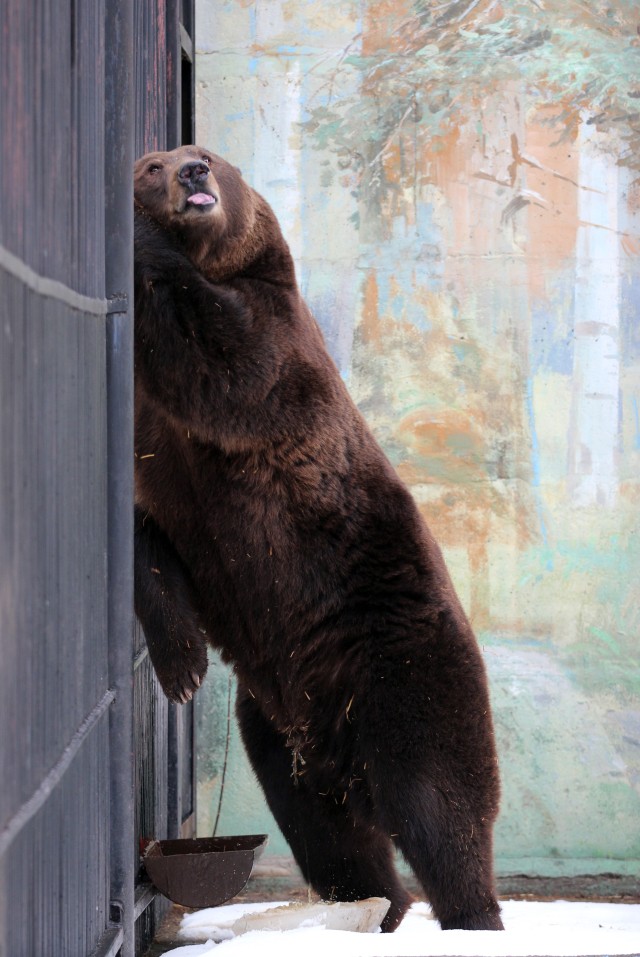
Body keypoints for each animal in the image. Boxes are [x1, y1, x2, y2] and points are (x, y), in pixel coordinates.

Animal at [134, 144, 504, 932]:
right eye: (157, 163)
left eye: (206, 156)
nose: (191, 177)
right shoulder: (164, 462)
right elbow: (151, 544)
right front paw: (182, 665)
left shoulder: (273, 357)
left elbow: (221, 356)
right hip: (282, 728)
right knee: (331, 833)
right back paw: (373, 906)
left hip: (404, 668)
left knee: (441, 808)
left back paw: (470, 913)